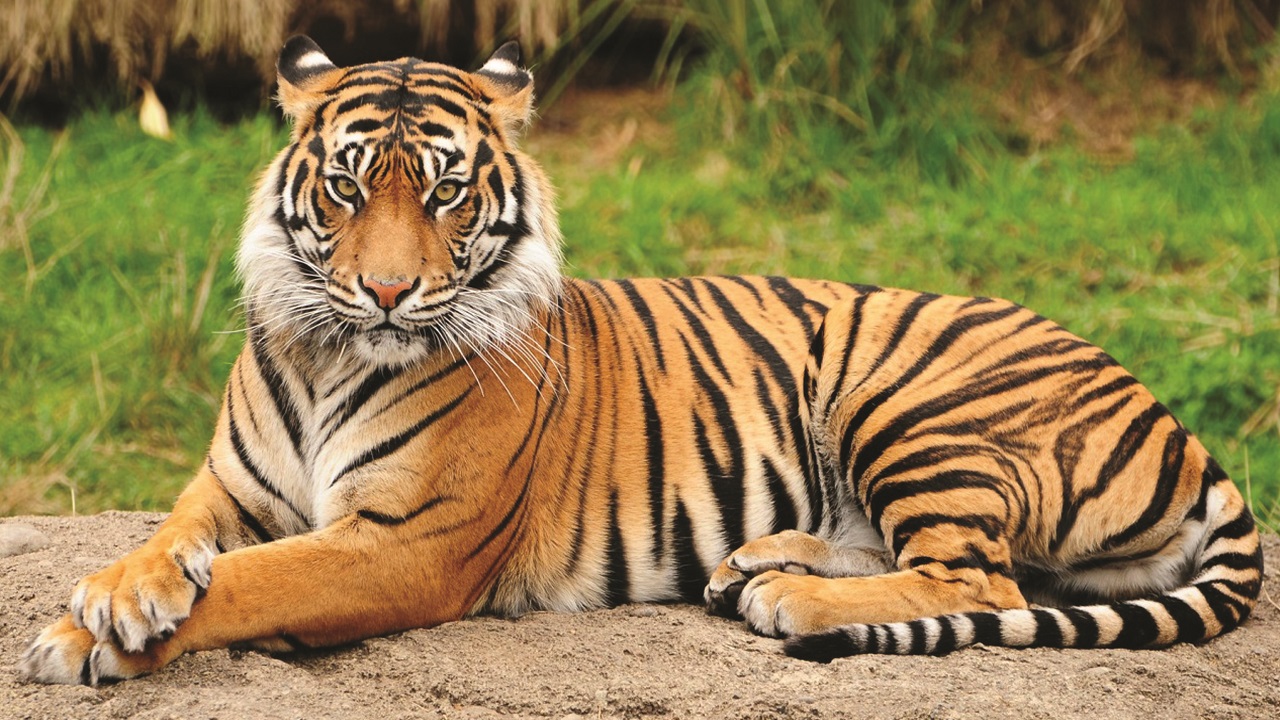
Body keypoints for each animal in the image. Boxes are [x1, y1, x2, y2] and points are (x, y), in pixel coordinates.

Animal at [18, 36, 1263, 685]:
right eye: (344, 188)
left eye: (445, 194)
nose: (386, 292)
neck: (331, 354)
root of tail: (1176, 424)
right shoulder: (229, 489)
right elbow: (172, 543)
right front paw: (117, 595)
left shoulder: (404, 543)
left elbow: (257, 581)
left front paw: (85, 637)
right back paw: (757, 564)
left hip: (905, 395)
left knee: (980, 578)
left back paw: (791, 602)